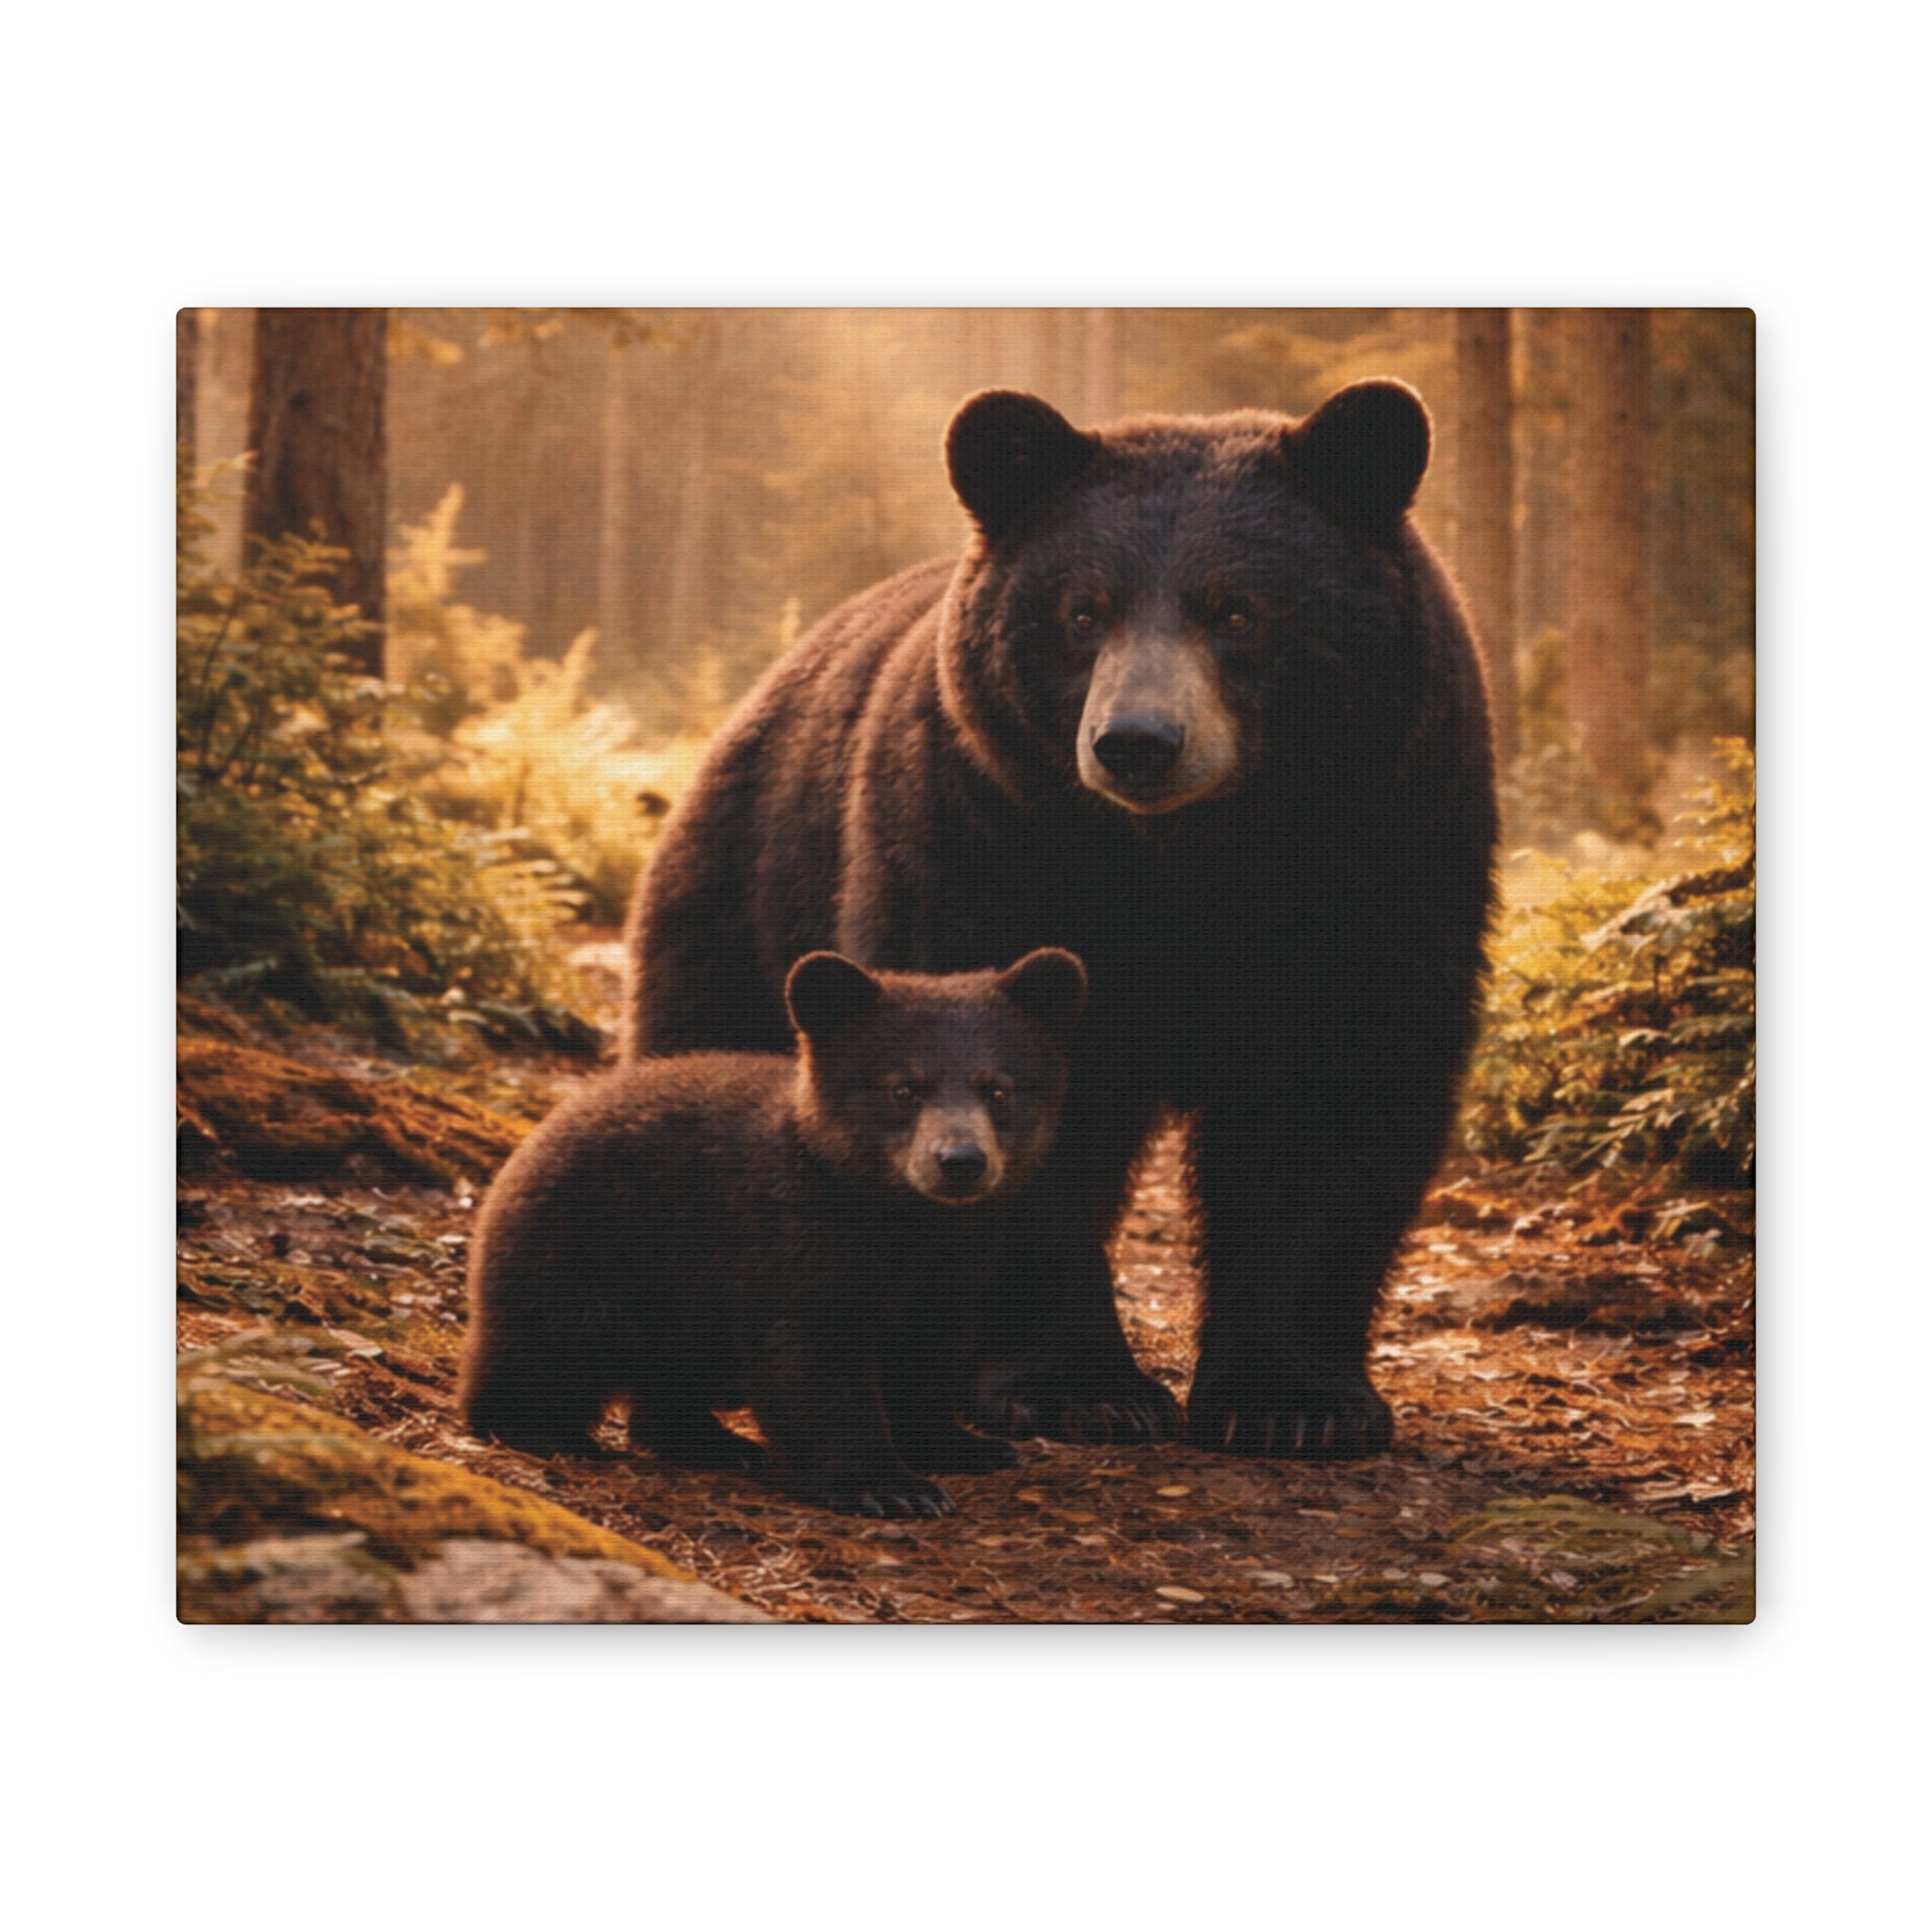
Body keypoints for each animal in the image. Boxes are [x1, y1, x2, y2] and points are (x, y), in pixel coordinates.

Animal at [458, 946, 1088, 1517]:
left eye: (998, 1089)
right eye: (905, 1088)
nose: (960, 1161)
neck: (897, 1218)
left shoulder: (956, 1260)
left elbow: (927, 1350)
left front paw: (962, 1445)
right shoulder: (791, 1240)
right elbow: (813, 1358)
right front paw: (889, 1485)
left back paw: (714, 1441)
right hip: (591, 1249)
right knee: (552, 1344)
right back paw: (544, 1430)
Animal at [623, 379, 1498, 1460]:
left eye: (1237, 608)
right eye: (1085, 610)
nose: (1137, 742)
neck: (1192, 864)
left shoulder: (1384, 856)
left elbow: (1335, 1093)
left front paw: (1293, 1401)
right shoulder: (987, 839)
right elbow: (1006, 1082)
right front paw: (1077, 1388)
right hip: (749, 893)